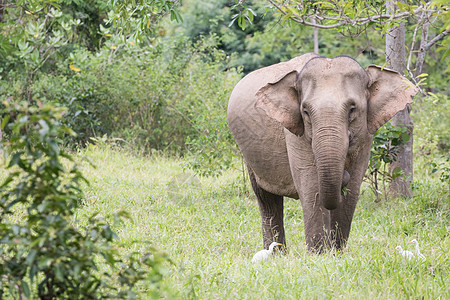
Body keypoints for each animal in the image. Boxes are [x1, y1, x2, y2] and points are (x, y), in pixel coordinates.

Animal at [229, 54, 418, 253]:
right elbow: (311, 185)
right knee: (266, 198)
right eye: (305, 111)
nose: (343, 176)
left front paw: (337, 253)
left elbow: (352, 188)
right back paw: (276, 254)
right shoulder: (295, 133)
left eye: (352, 109)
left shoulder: (365, 133)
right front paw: (318, 254)